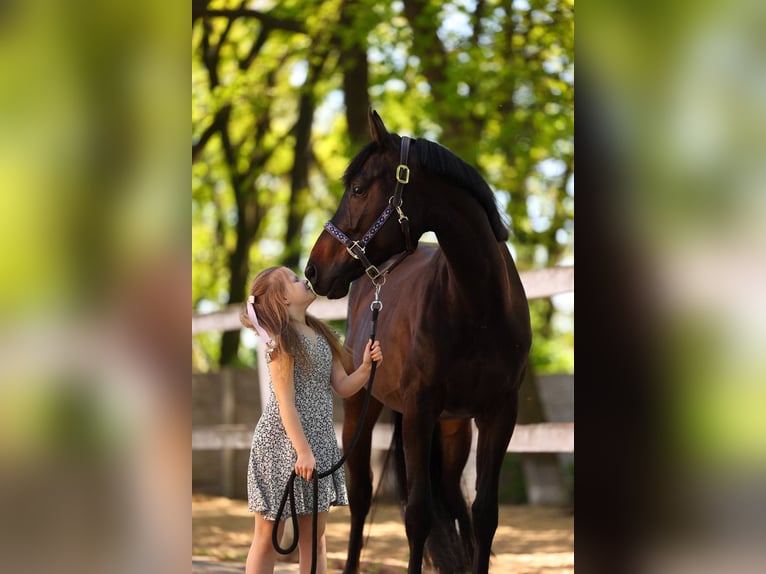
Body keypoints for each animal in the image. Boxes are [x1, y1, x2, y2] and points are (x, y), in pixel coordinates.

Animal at [306, 110, 536, 572]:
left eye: (358, 189)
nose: (313, 269)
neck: (478, 308)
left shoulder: (499, 413)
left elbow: (485, 514)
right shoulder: (419, 411)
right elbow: (417, 515)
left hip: (453, 427)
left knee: (452, 498)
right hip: (361, 407)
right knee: (361, 497)